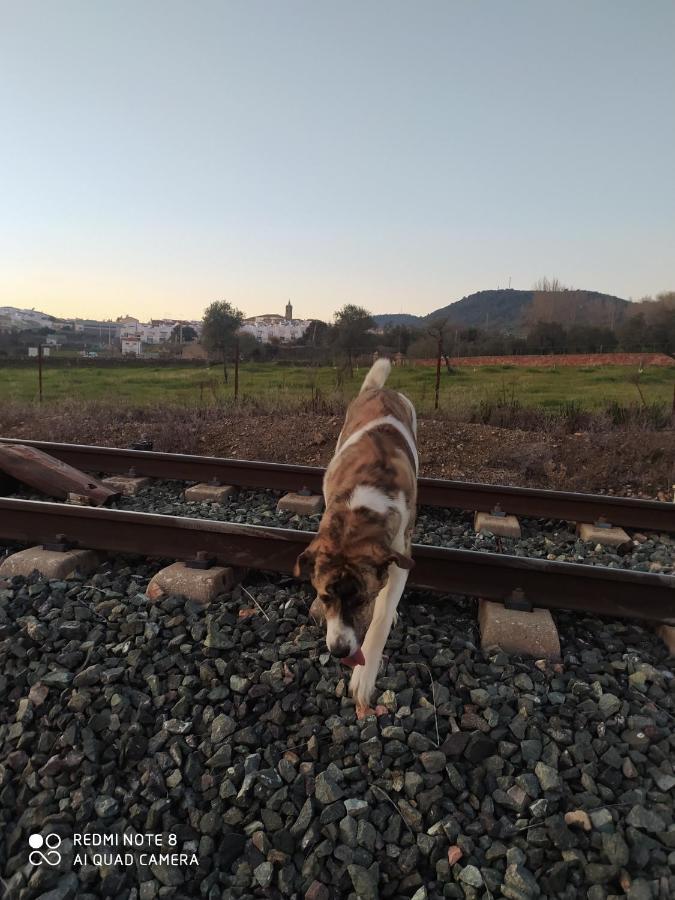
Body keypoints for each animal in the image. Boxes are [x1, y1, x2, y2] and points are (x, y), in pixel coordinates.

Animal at [294, 358, 418, 716]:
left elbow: (382, 615)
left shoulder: (400, 551)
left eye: (361, 600)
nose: (338, 650)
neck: (358, 514)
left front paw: (364, 677)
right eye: (324, 597)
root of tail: (380, 389)